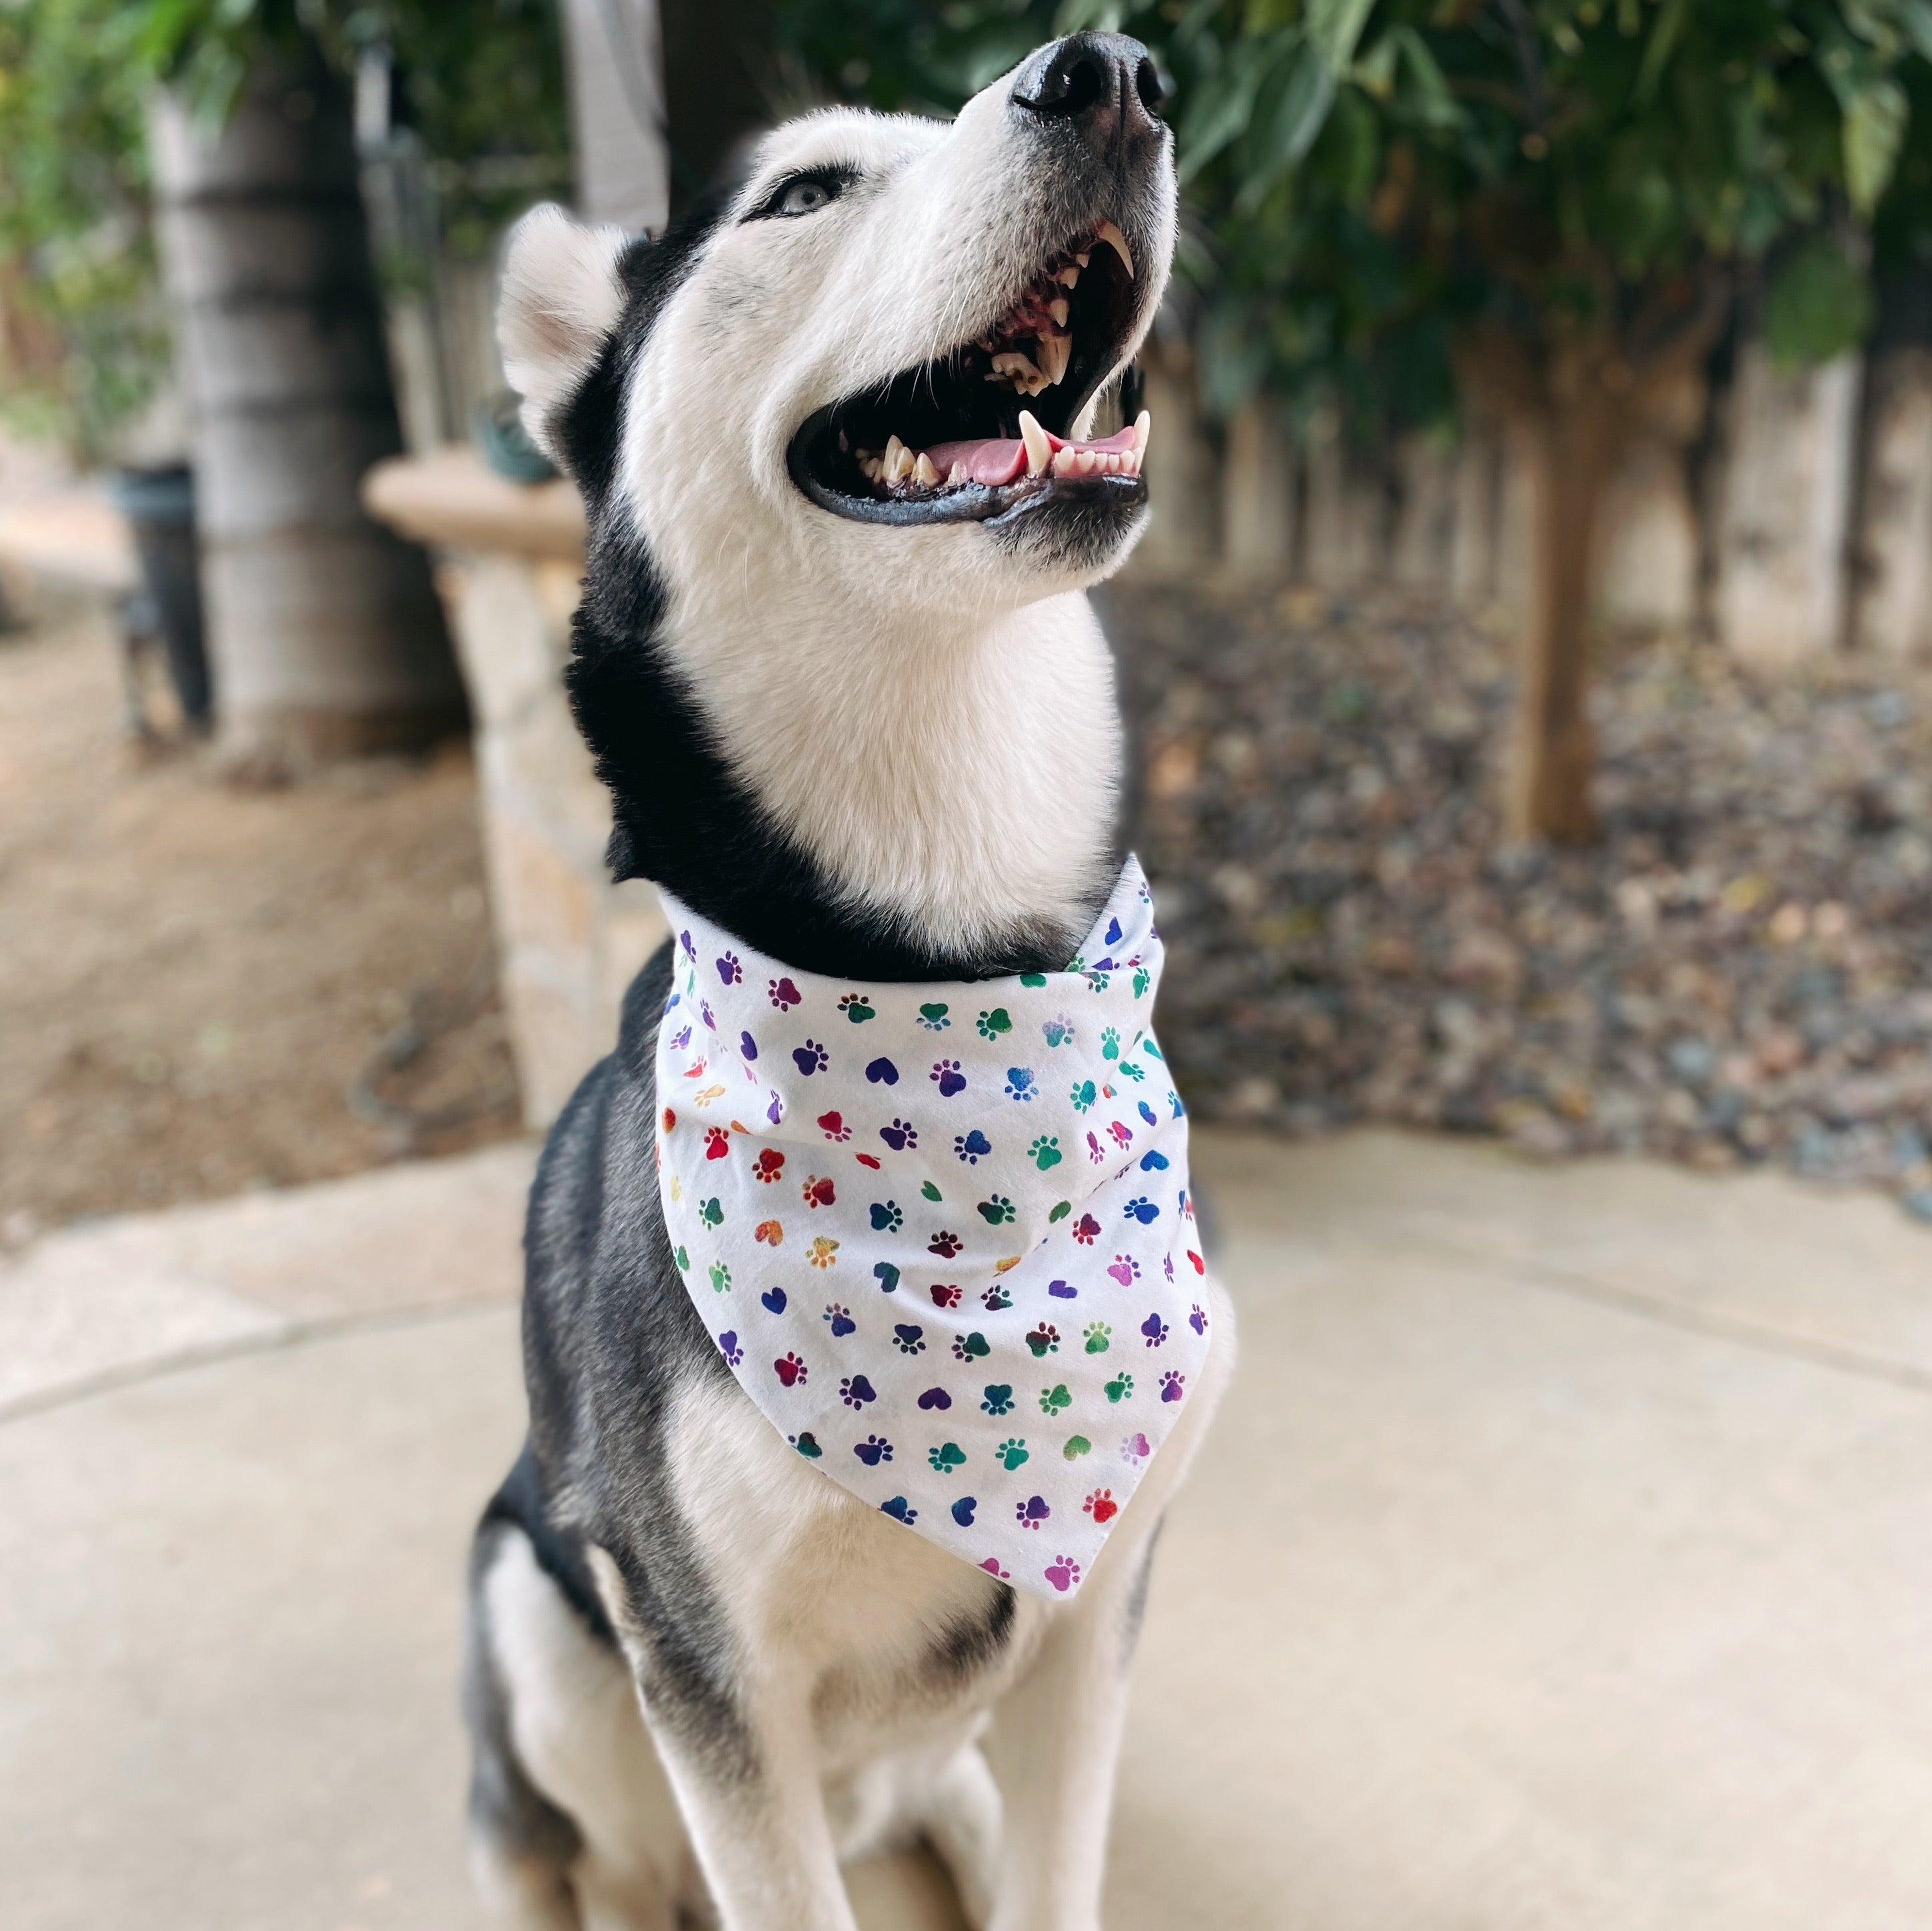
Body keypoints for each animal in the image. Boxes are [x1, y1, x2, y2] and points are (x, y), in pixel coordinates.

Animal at [471, 34, 1236, 1931]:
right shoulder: (711, 1675)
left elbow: (1056, 1866)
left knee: (940, 1796)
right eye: (805, 192)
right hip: (533, 1606)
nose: (1113, 70)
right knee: (574, 1855)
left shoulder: (1094, 1620)